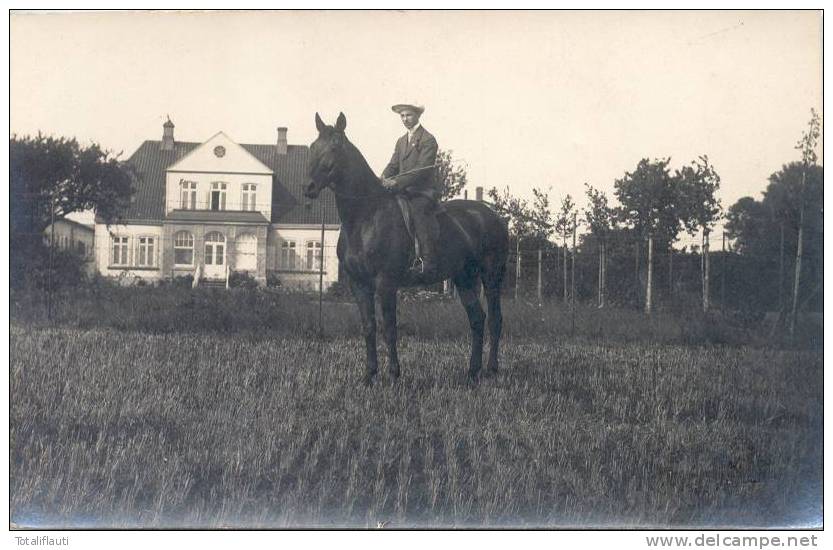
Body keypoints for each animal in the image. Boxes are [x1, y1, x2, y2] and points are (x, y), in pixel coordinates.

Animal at [302, 113, 504, 386]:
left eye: (334, 147)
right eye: (313, 147)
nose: (309, 187)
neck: (366, 216)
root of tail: (493, 215)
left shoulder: (386, 283)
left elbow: (389, 328)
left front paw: (393, 375)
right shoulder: (359, 284)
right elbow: (369, 327)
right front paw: (369, 375)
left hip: (492, 277)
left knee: (494, 320)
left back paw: (491, 369)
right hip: (464, 278)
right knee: (477, 319)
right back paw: (472, 372)